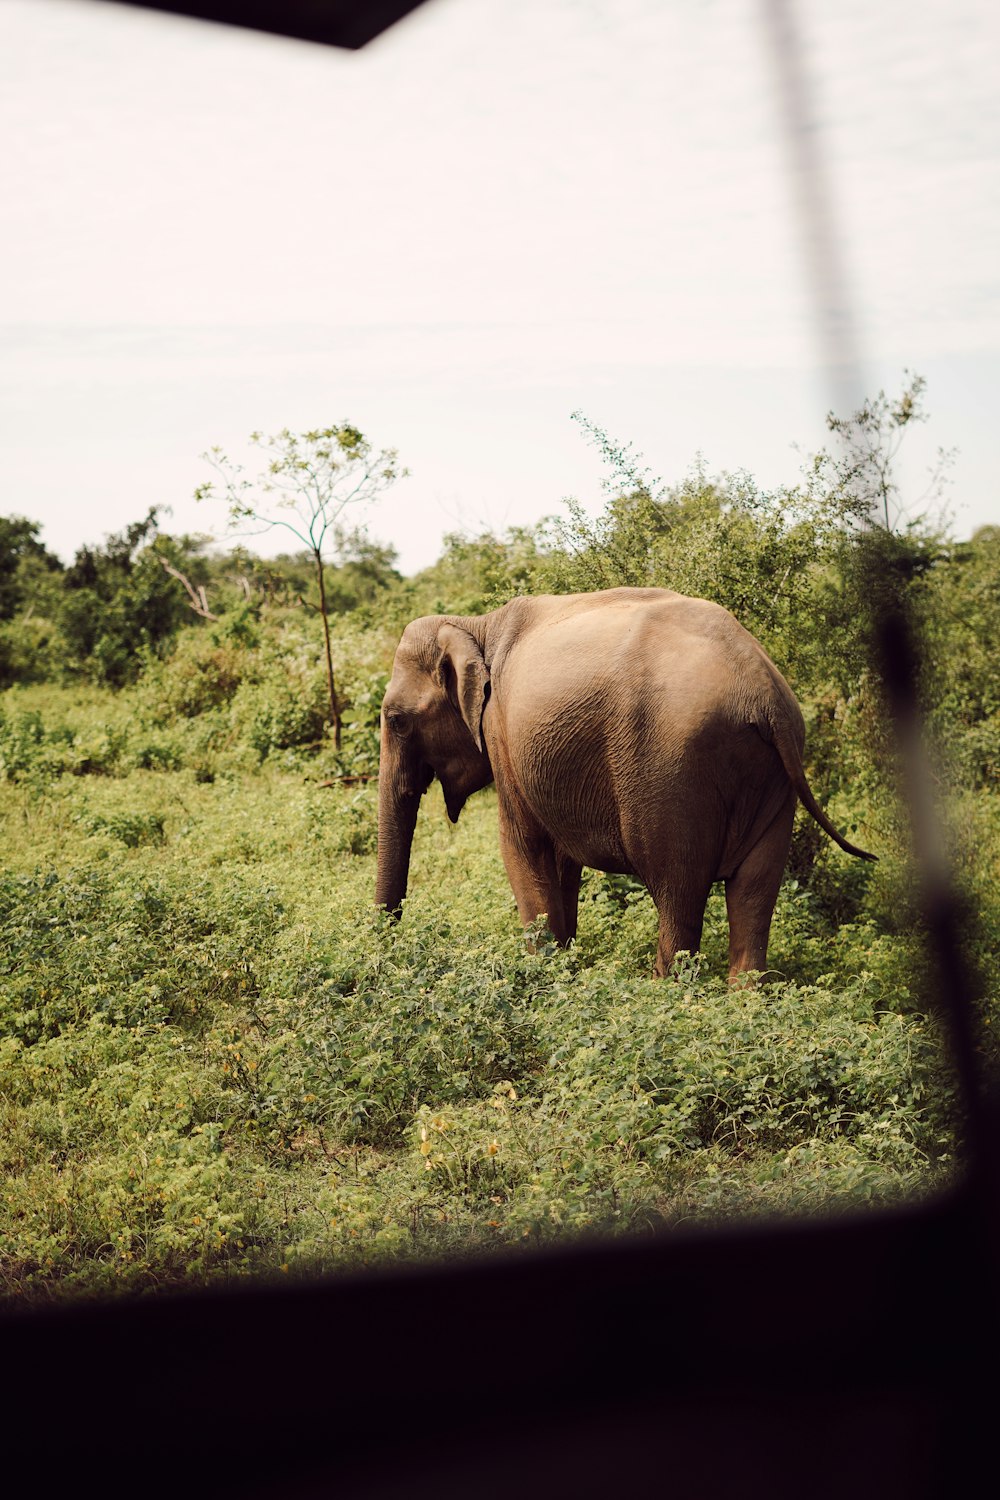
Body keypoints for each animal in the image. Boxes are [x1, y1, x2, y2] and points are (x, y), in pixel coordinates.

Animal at [374, 585, 875, 984]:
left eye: (396, 720)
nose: (387, 946)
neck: (475, 624)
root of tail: (764, 692)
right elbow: (562, 862)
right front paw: (564, 966)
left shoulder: (502, 737)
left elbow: (522, 846)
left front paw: (542, 977)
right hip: (773, 778)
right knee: (754, 892)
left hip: (671, 770)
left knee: (677, 892)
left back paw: (664, 994)